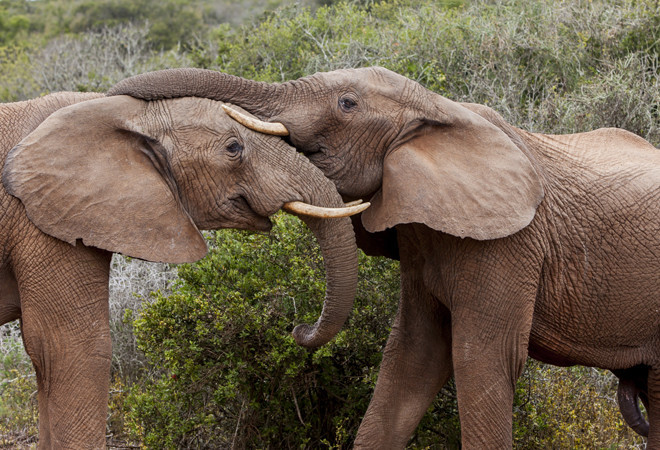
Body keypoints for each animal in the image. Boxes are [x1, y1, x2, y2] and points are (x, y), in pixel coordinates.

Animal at [108, 67, 660, 450]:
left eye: (347, 102)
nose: (297, 329)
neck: (439, 110)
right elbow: (412, 359)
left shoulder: (509, 243)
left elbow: (481, 360)